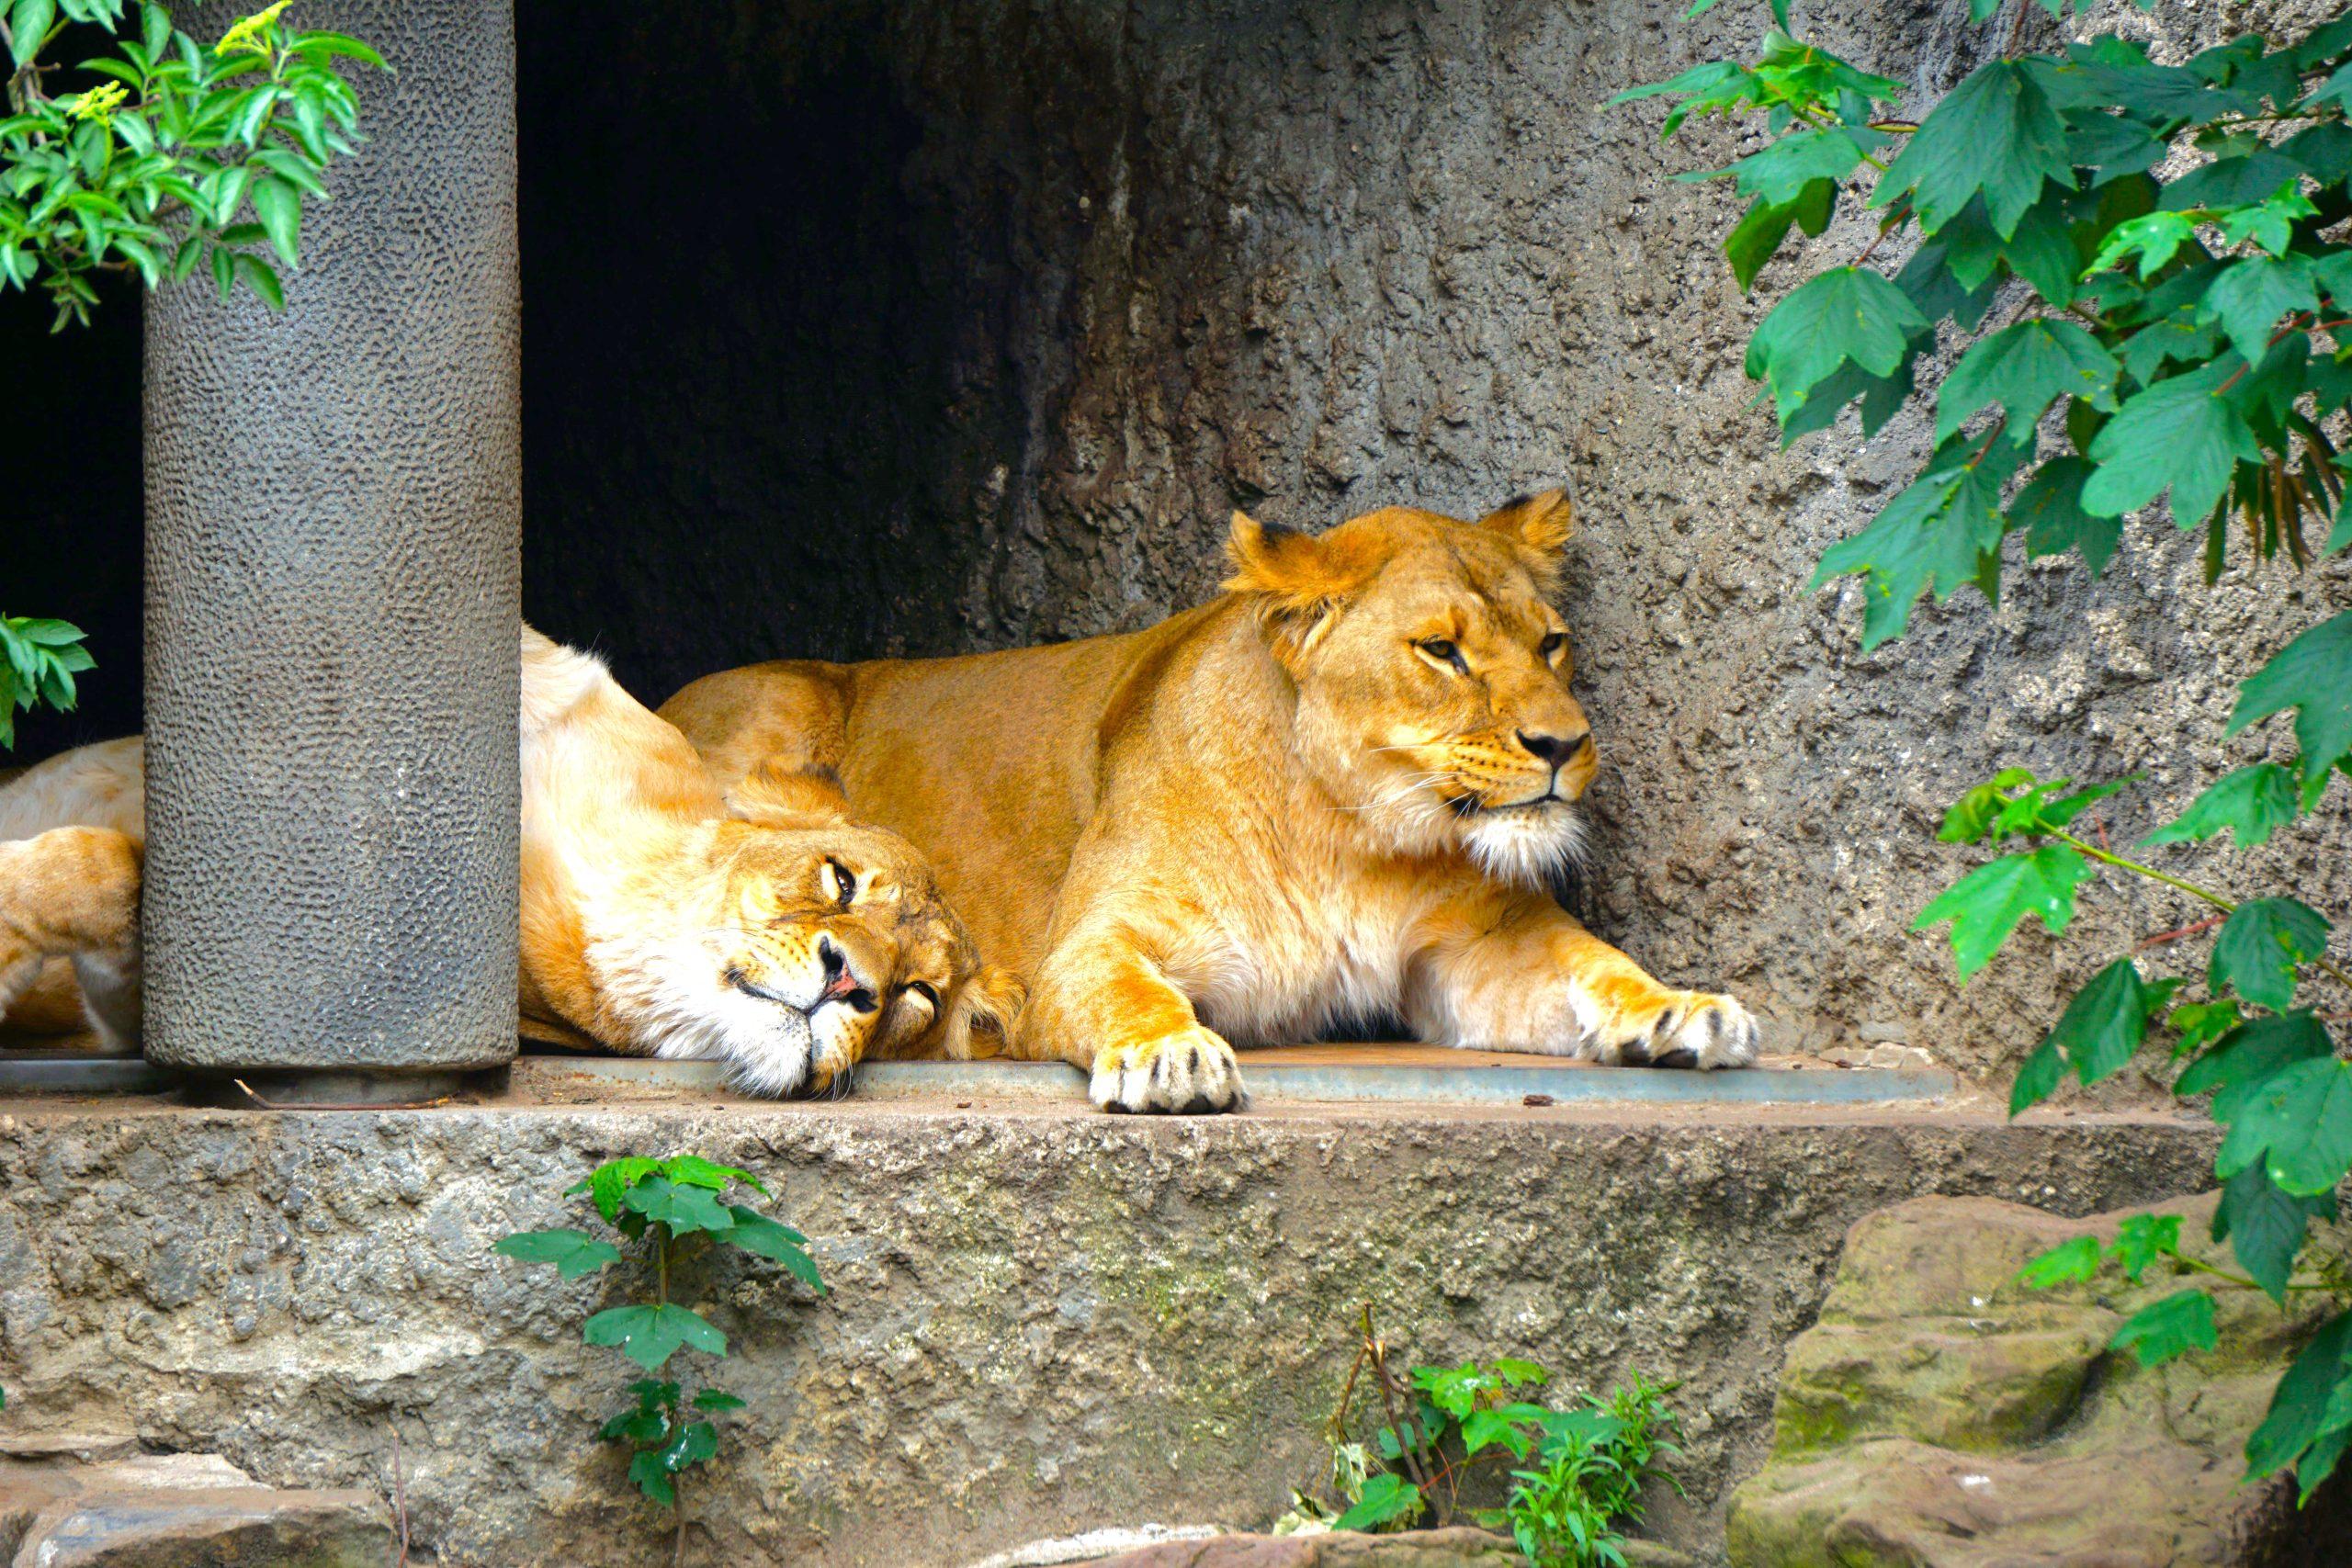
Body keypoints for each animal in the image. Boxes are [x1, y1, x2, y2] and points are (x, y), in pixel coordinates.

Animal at [662, 491, 1769, 1114]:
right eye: (1441, 650)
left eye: (1551, 643)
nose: (1564, 746)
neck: (1350, 837)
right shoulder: (1089, 942)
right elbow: (1129, 988)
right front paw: (1171, 1056)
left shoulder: (1467, 953)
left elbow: (1588, 966)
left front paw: (1679, 1009)